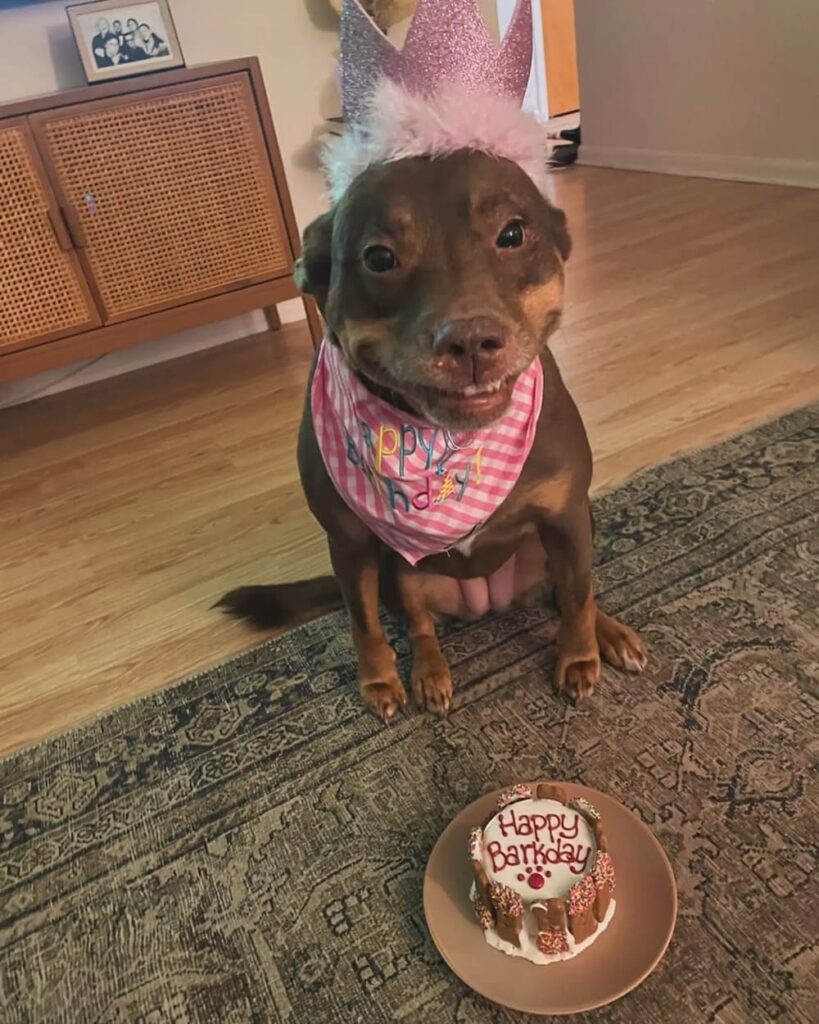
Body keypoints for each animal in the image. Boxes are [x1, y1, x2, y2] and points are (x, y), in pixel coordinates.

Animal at [222, 151, 647, 720]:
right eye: (379, 258)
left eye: (513, 234)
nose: (470, 340)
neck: (448, 443)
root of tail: (487, 598)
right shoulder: (350, 542)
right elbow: (363, 621)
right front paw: (378, 681)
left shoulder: (565, 515)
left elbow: (579, 594)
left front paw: (580, 657)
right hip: (403, 573)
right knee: (419, 625)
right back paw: (428, 674)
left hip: (573, 528)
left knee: (568, 589)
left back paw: (611, 634)